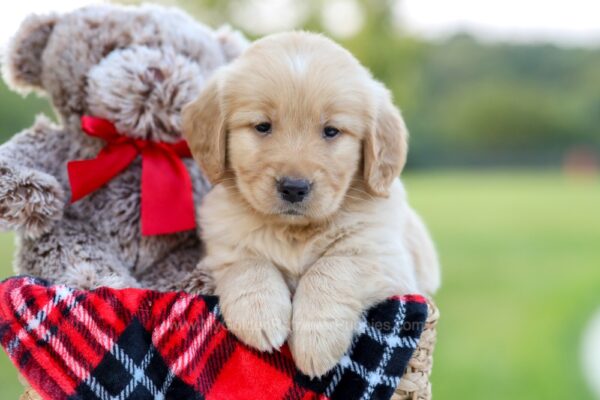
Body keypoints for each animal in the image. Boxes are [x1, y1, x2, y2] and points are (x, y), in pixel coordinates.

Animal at [180, 32, 438, 378]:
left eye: (331, 131)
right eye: (262, 126)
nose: (293, 188)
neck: (293, 231)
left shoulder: (383, 256)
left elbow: (332, 269)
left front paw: (316, 339)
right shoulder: (221, 247)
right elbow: (248, 263)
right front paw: (259, 314)